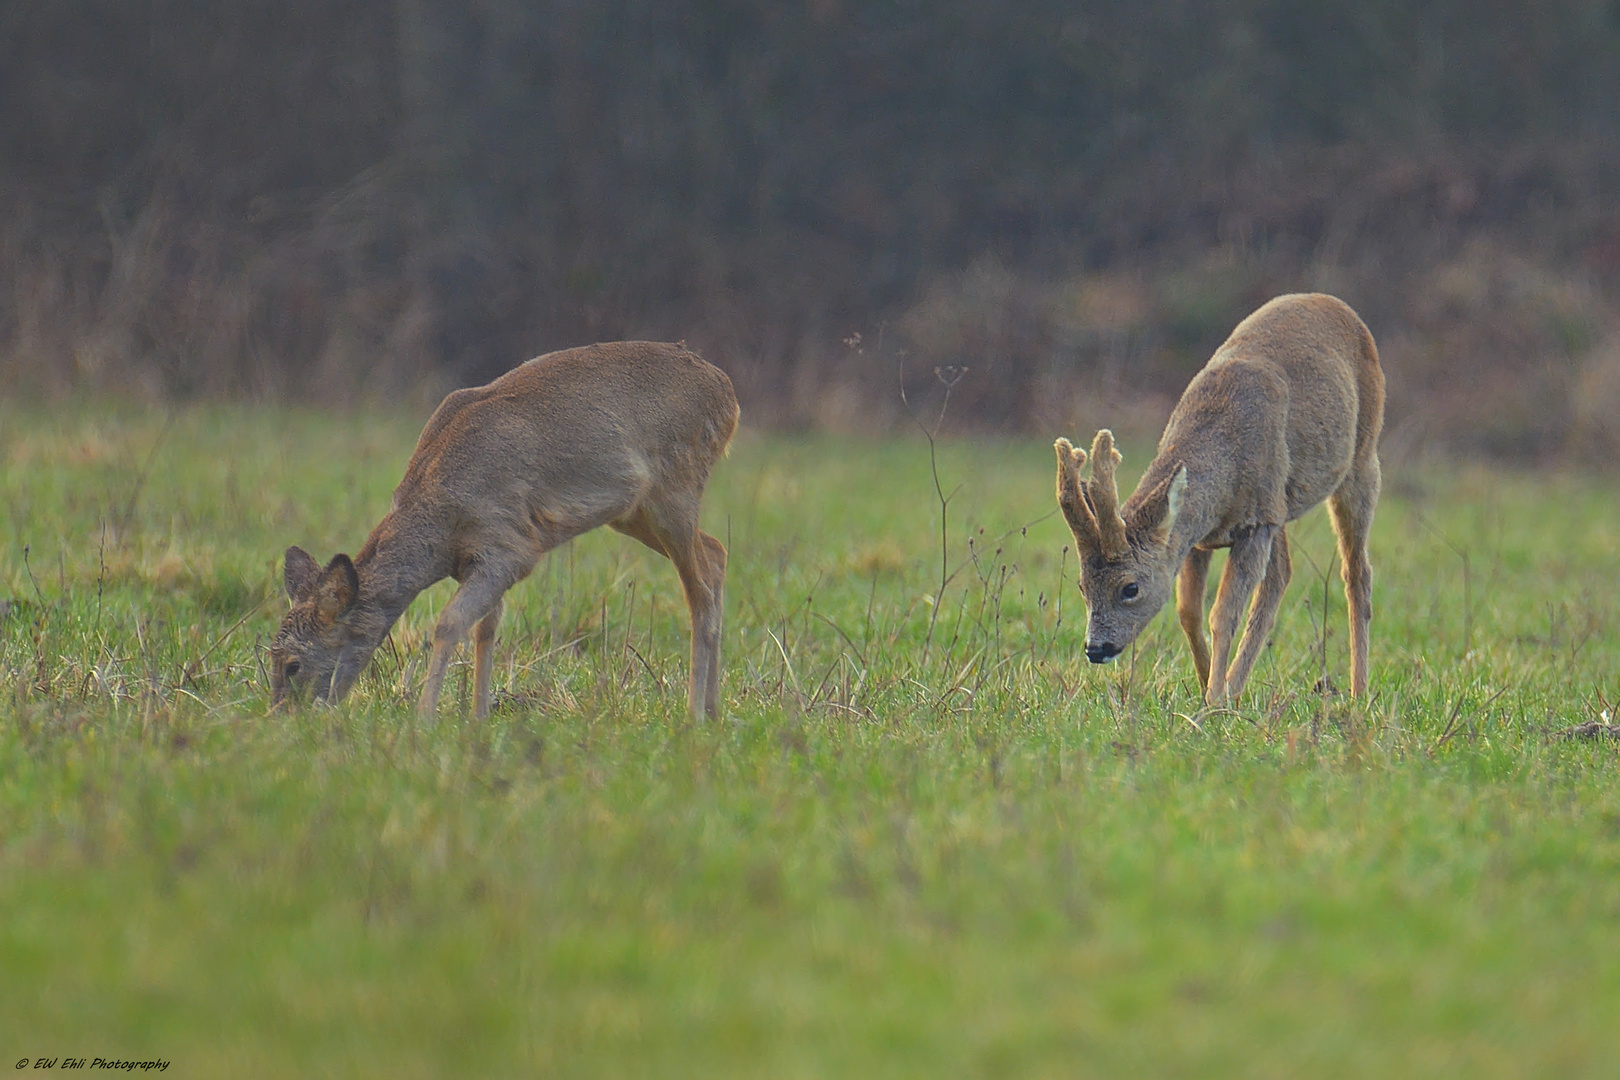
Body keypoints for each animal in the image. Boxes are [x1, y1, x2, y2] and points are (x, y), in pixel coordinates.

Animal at [272, 341, 741, 722]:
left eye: (293, 664)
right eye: (271, 656)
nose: (281, 717)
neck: (439, 530)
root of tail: (728, 392)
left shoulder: (508, 547)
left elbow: (450, 623)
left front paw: (425, 718)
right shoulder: (479, 559)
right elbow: (486, 628)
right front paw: (478, 716)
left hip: (676, 486)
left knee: (699, 588)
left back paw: (693, 714)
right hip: (634, 511)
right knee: (716, 552)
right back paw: (714, 709)